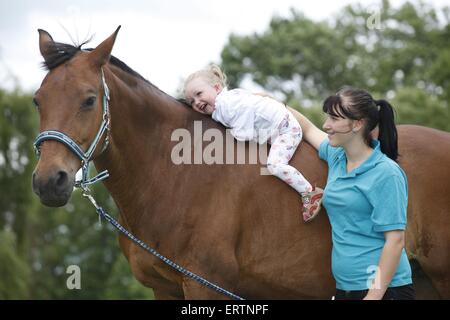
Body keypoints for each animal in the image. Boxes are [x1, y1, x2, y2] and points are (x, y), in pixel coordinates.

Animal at [31, 28, 450, 300]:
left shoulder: (204, 285)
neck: (175, 174)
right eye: (38, 100)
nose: (49, 181)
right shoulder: (165, 288)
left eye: (88, 100)